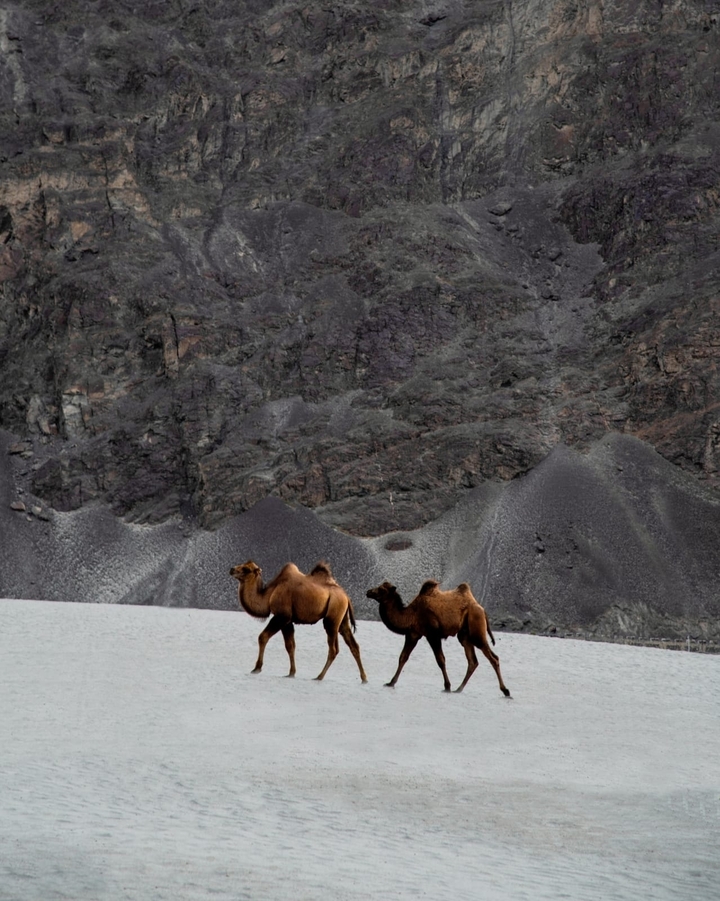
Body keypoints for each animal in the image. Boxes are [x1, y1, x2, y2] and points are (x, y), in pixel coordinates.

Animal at [230, 560, 367, 683]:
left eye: (246, 569)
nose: (231, 569)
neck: (269, 594)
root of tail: (346, 596)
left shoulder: (281, 616)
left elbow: (263, 637)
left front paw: (256, 668)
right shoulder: (288, 621)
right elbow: (290, 646)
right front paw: (291, 673)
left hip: (332, 617)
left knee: (333, 649)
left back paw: (319, 676)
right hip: (342, 619)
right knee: (353, 645)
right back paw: (364, 678)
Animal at [366, 579, 511, 697]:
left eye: (382, 589)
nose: (368, 592)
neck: (411, 614)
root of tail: (482, 609)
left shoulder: (432, 634)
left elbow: (440, 660)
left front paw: (447, 686)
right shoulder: (413, 634)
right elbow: (403, 657)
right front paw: (390, 682)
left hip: (476, 631)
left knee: (493, 658)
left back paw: (506, 691)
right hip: (465, 635)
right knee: (473, 661)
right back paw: (459, 689)